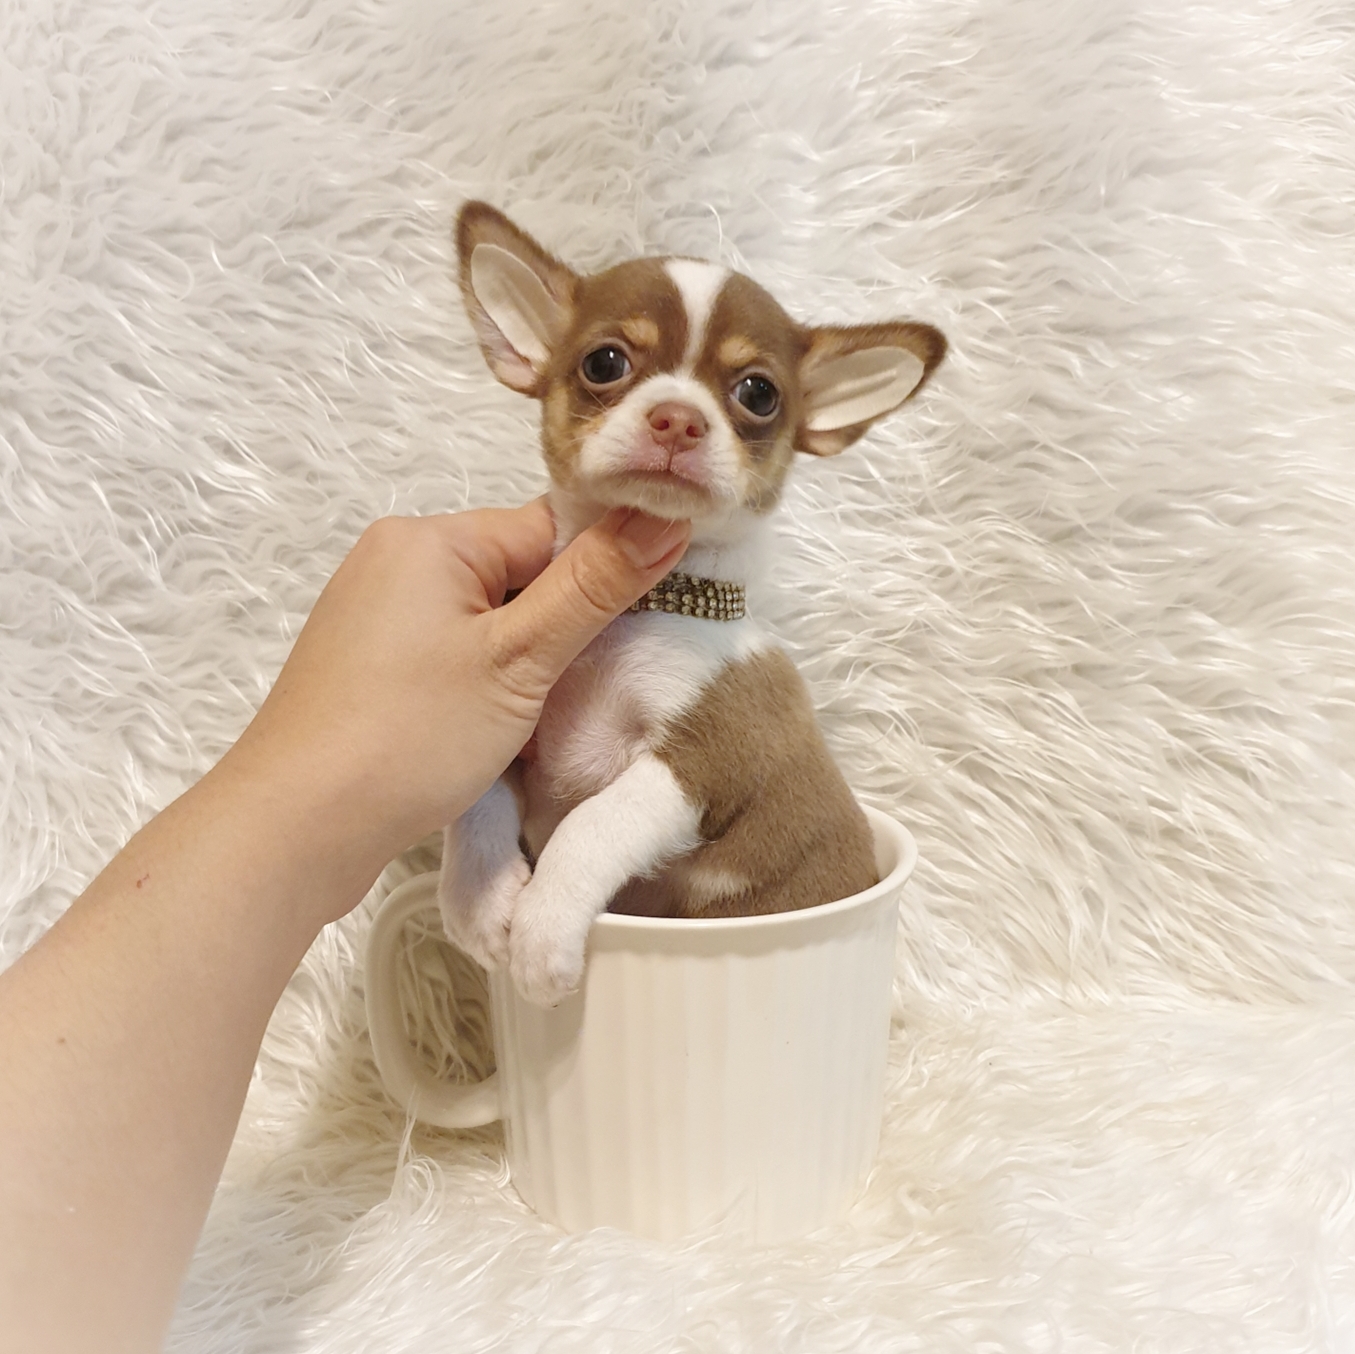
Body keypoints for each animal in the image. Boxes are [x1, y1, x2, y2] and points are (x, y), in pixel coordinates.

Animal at [440, 202, 945, 1008]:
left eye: (759, 394)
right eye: (605, 363)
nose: (677, 418)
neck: (639, 606)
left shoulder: (705, 759)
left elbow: (593, 822)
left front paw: (544, 930)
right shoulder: (507, 731)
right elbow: (479, 795)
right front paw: (480, 900)